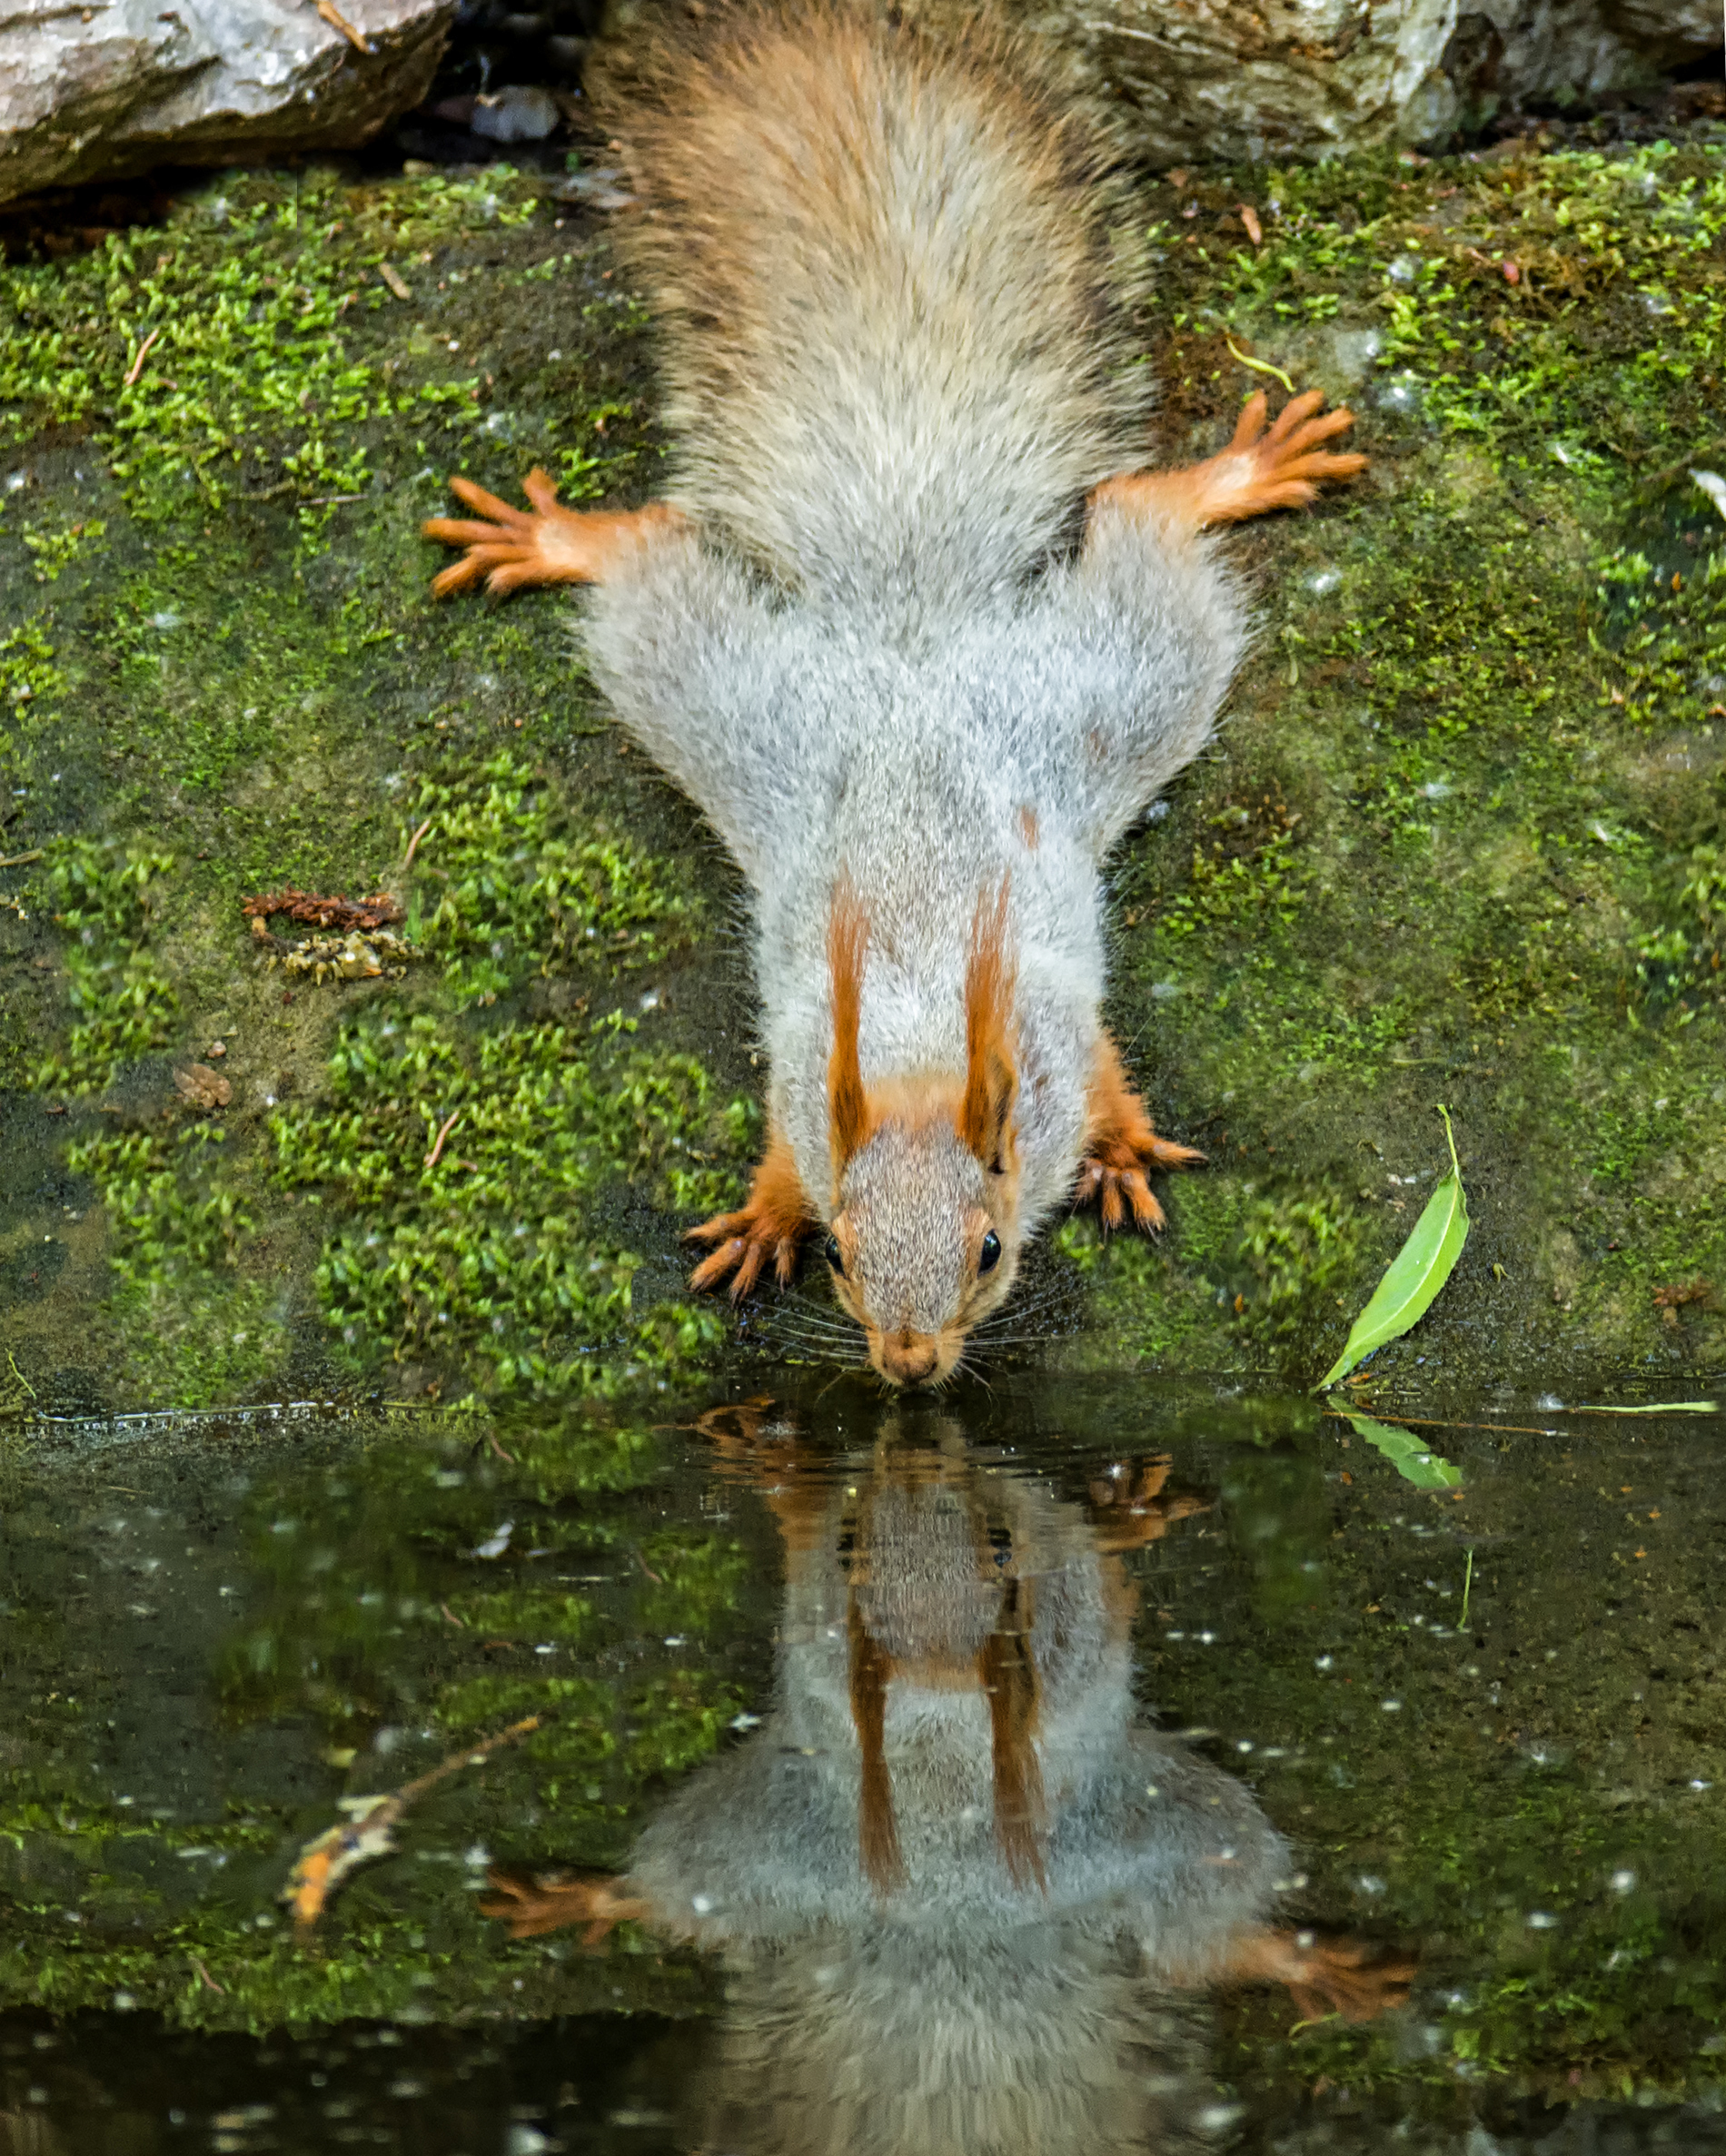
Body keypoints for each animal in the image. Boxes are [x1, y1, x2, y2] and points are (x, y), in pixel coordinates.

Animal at [424, 0, 1372, 1388]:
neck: (922, 1034)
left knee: (1142, 519)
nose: (909, 1365)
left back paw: (1238, 473)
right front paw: (764, 1211)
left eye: (989, 1250)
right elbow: (784, 1141)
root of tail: (909, 622)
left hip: (1114, 680)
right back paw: (555, 541)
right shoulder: (804, 1067)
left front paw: (1120, 1146)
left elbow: (1102, 1069)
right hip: (725, 694)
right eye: (841, 1251)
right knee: (648, 552)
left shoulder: (1050, 1026)